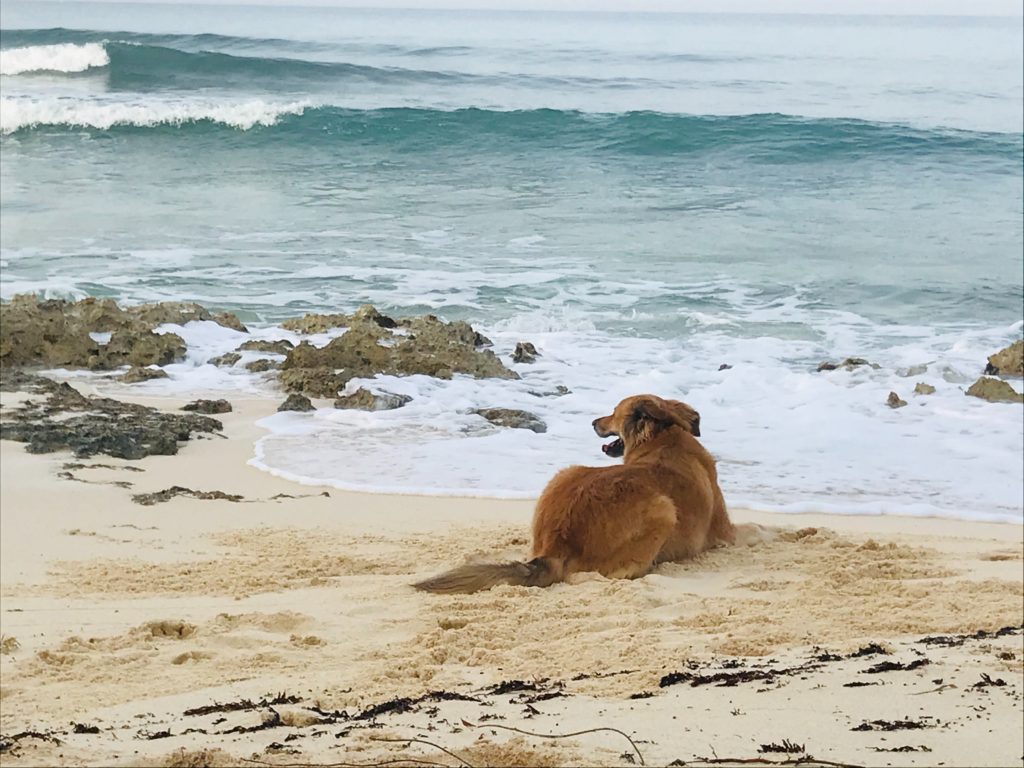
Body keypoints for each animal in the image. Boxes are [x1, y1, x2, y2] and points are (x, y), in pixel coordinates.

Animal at [413, 397, 737, 593]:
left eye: (613, 412)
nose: (593, 422)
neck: (663, 437)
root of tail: (557, 545)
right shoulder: (727, 533)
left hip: (564, 473)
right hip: (664, 509)